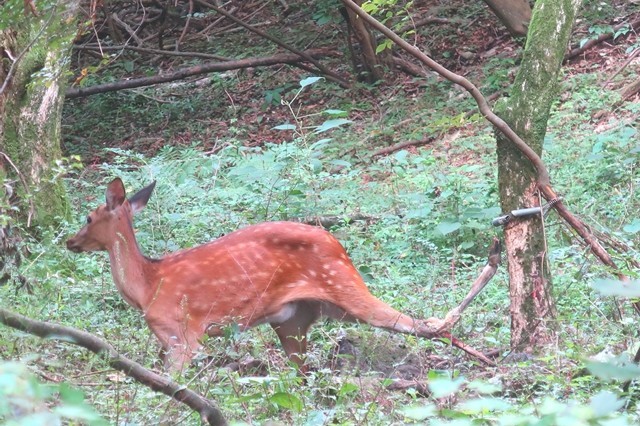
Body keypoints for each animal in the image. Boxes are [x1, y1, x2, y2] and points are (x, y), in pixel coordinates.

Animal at [69, 178, 500, 372]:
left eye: (88, 217)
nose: (70, 242)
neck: (147, 286)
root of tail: (340, 246)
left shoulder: (182, 334)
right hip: (293, 320)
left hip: (343, 284)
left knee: (430, 322)